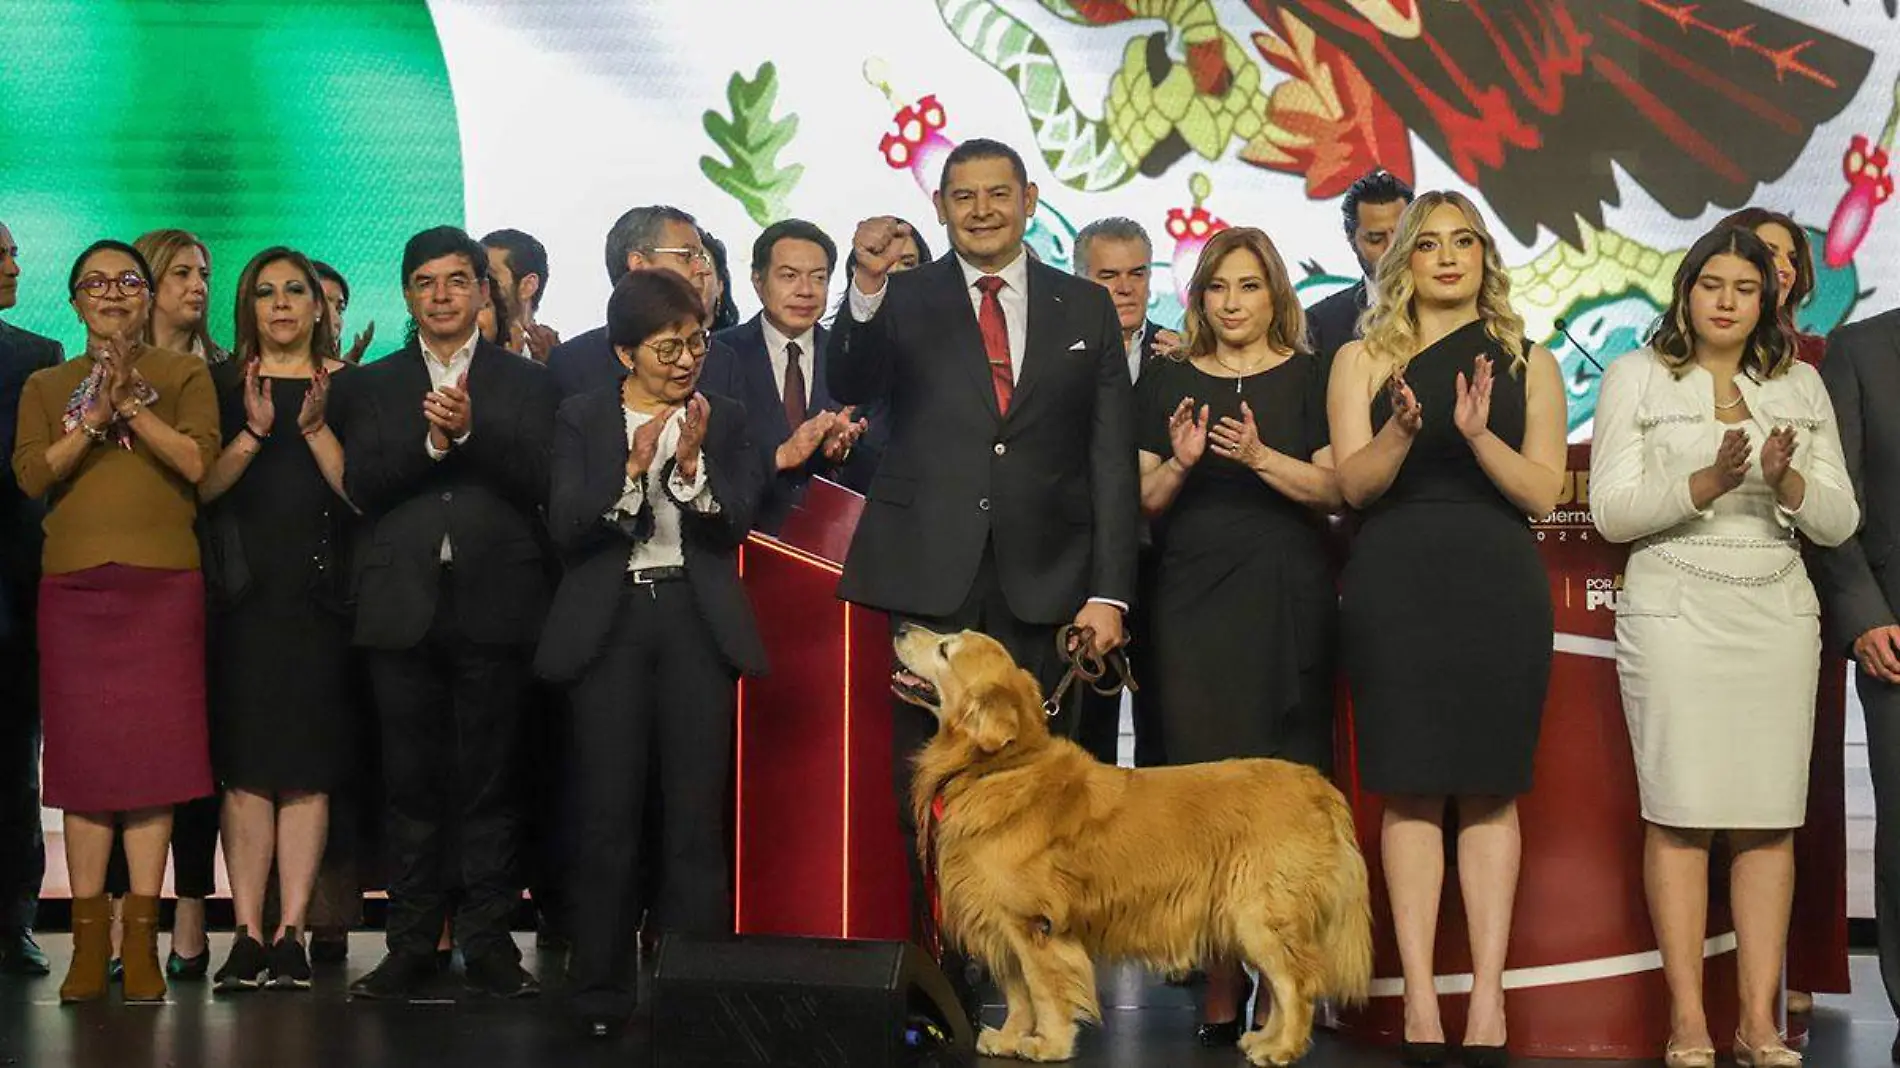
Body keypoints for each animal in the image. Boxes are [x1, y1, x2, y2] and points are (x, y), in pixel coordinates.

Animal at [889, 623, 1368, 1064]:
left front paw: (1049, 1044)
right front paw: (1009, 1037)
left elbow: (1043, 990)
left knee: (1296, 983)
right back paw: (1265, 1038)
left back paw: (1283, 1047)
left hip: (1261, 914)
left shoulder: (1035, 924)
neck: (998, 766)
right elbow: (1018, 992)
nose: (901, 627)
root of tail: (1318, 785)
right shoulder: (1000, 922)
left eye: (945, 648)